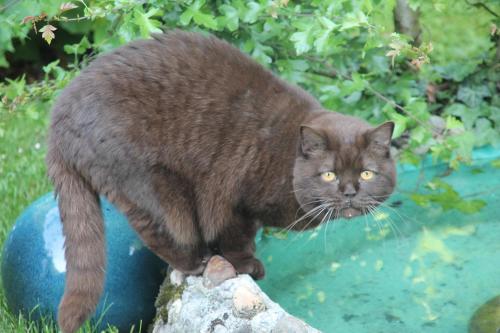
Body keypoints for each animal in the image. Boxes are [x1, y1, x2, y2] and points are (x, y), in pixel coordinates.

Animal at [47, 29, 398, 330]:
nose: (349, 192)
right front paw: (247, 264)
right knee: (158, 231)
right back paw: (195, 262)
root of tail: (57, 123)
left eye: (366, 173)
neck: (287, 156)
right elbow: (235, 236)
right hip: (155, 188)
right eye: (329, 174)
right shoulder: (232, 199)